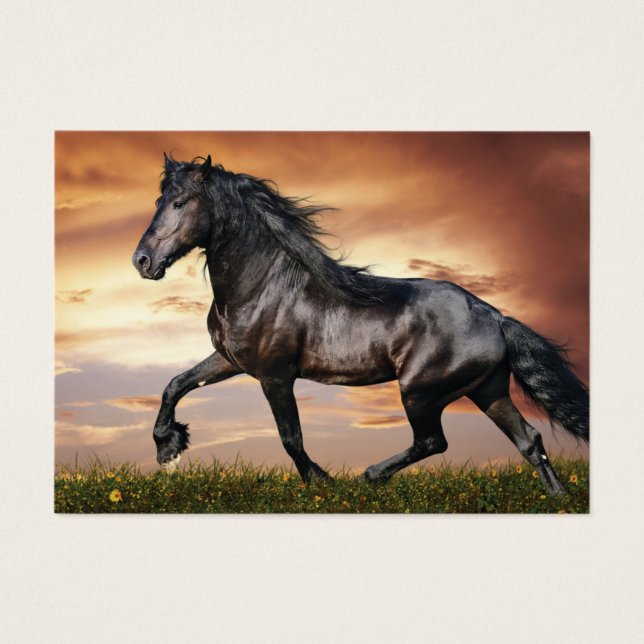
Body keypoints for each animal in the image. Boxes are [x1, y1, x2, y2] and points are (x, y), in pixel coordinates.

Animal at [132, 154, 589, 495]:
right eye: (158, 202)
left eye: (180, 203)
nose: (142, 261)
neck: (263, 285)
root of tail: (495, 316)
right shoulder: (231, 360)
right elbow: (176, 384)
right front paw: (168, 447)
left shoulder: (275, 375)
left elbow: (290, 438)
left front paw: (322, 483)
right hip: (487, 390)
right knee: (529, 441)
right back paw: (557, 499)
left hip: (420, 391)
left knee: (433, 441)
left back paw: (368, 477)